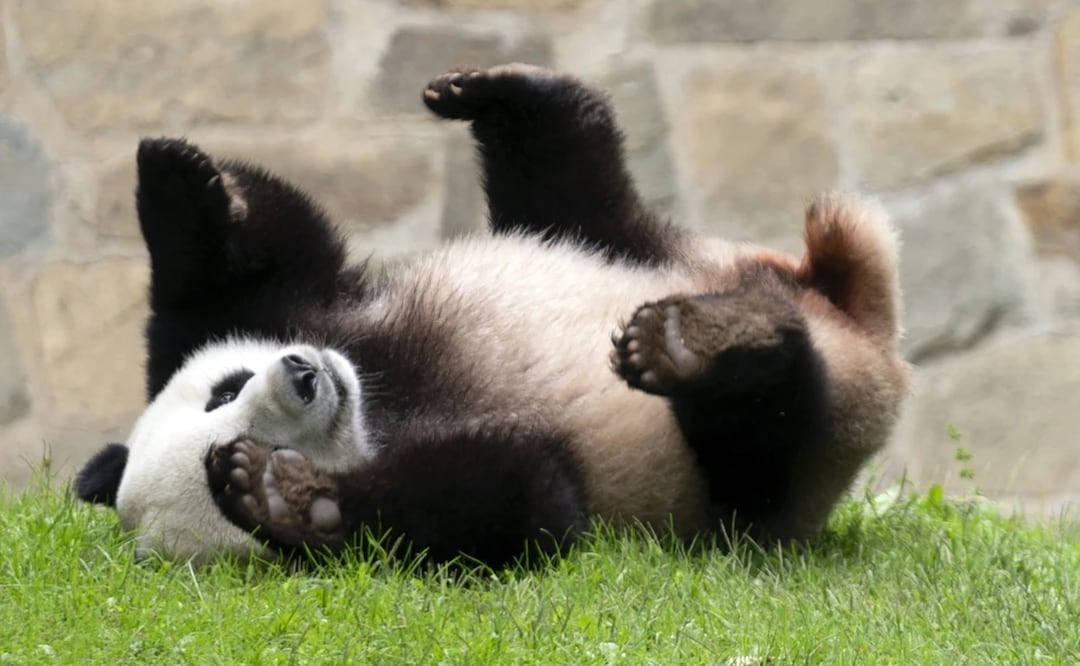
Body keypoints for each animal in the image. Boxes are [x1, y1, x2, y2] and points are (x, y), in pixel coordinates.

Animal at [74, 64, 909, 568]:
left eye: (224, 390)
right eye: (240, 424)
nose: (304, 375)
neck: (381, 400)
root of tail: (857, 321)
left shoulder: (309, 311)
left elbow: (257, 266)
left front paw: (176, 177)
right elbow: (523, 504)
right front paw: (285, 496)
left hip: (654, 249)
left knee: (575, 187)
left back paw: (504, 96)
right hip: (769, 477)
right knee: (766, 432)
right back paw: (704, 347)